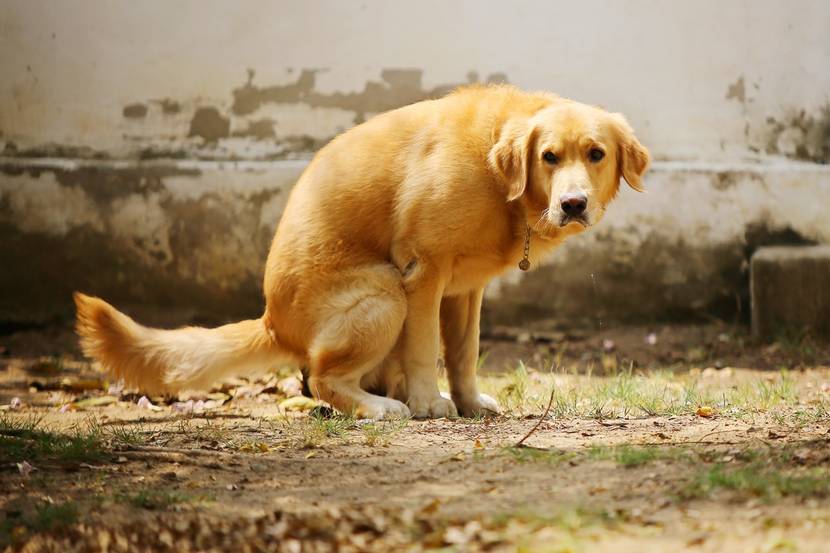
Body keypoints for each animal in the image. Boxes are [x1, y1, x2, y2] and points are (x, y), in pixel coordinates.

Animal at [75, 83, 652, 418]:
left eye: (596, 154)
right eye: (549, 156)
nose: (574, 204)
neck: (498, 176)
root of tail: (271, 320)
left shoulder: (465, 291)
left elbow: (463, 355)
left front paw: (467, 402)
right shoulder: (423, 274)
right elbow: (425, 351)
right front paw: (430, 403)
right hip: (383, 293)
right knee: (323, 381)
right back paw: (381, 407)